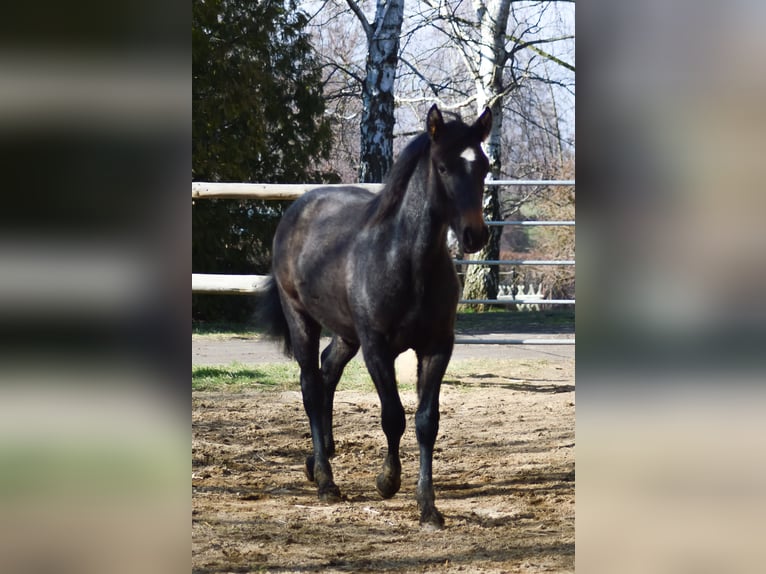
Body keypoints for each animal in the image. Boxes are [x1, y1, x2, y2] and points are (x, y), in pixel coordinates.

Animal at [260, 104, 492, 532]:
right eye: (443, 167)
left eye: (483, 165)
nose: (475, 235)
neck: (406, 259)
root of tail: (298, 209)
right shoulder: (377, 348)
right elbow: (393, 416)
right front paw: (387, 480)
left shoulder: (437, 347)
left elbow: (426, 421)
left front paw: (428, 507)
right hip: (302, 319)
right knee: (311, 385)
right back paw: (326, 481)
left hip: (346, 333)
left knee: (328, 370)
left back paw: (317, 460)